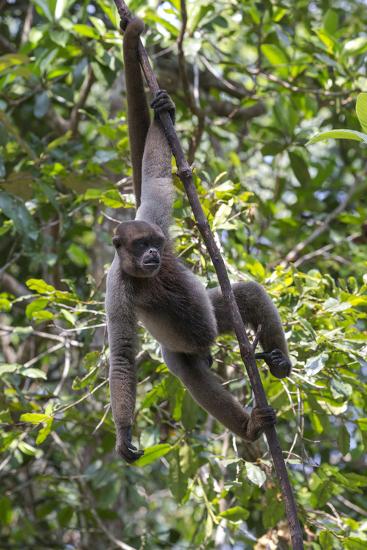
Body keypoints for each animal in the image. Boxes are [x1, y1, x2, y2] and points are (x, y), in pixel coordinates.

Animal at [105, 17, 292, 464]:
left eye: (154, 243)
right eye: (139, 247)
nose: (153, 255)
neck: (145, 275)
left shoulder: (153, 215)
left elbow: (155, 174)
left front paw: (162, 110)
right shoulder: (116, 285)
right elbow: (122, 356)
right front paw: (123, 433)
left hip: (215, 316)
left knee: (246, 295)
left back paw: (278, 363)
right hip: (184, 349)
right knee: (188, 369)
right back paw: (250, 426)